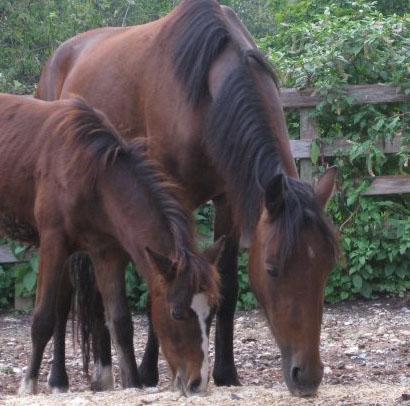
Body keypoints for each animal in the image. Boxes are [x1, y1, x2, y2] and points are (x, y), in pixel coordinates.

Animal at [0, 94, 223, 396]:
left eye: (211, 313)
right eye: (176, 313)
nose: (197, 382)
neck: (92, 173)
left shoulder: (106, 253)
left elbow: (120, 322)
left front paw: (133, 383)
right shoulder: (52, 243)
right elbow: (43, 318)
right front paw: (28, 385)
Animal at [37, 0, 340, 396]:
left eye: (326, 267)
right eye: (273, 269)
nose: (307, 376)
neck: (206, 97)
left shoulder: (228, 201)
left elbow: (225, 285)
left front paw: (225, 372)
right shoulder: (174, 200)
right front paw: (152, 371)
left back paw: (103, 373)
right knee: (63, 294)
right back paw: (59, 377)